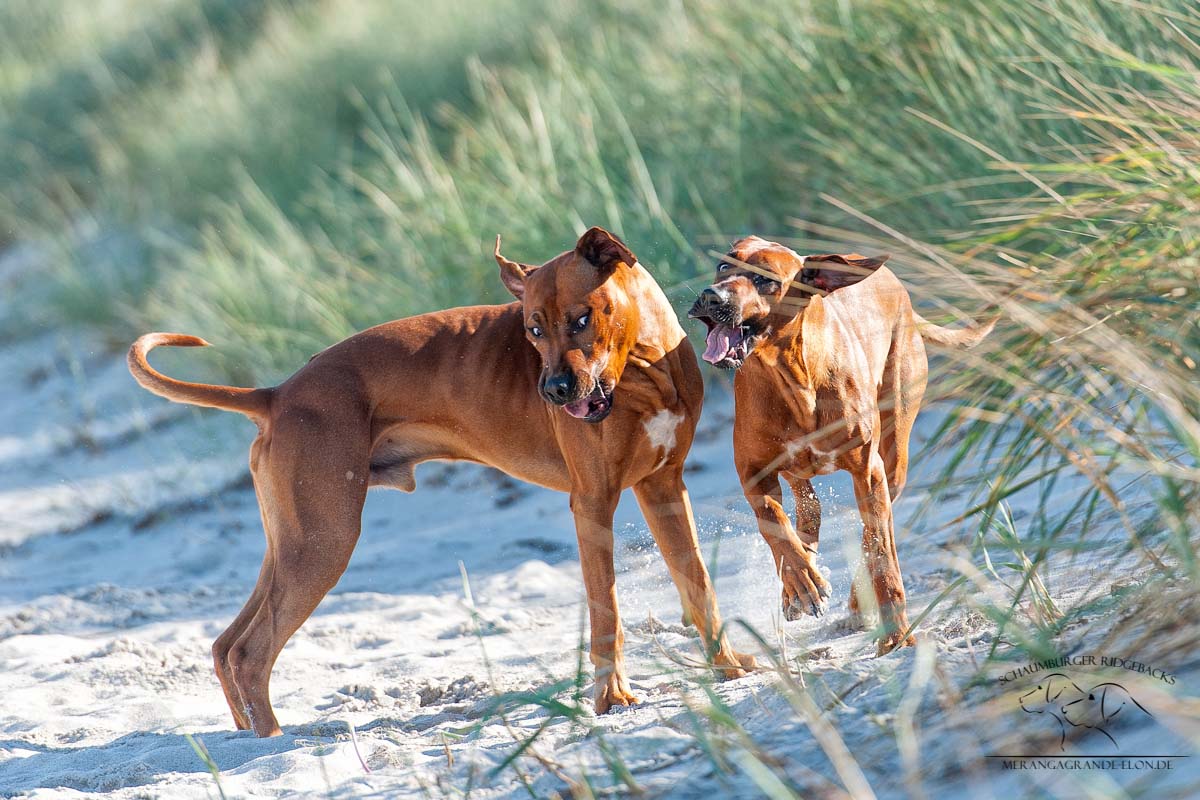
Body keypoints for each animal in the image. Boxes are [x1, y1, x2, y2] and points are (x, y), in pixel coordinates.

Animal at [126, 226, 753, 738]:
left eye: (582, 318)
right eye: (532, 330)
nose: (553, 391)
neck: (645, 368)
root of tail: (276, 395)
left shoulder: (665, 490)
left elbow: (699, 585)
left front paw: (728, 668)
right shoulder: (593, 505)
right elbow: (608, 612)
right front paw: (612, 697)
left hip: (294, 544)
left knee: (226, 644)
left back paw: (246, 735)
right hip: (324, 543)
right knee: (251, 653)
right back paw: (273, 740)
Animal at [691, 237, 988, 657]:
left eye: (764, 280)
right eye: (722, 266)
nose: (710, 296)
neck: (792, 374)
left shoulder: (869, 471)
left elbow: (880, 552)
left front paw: (896, 636)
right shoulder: (754, 474)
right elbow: (775, 525)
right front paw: (801, 580)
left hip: (894, 454)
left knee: (872, 527)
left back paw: (854, 600)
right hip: (798, 468)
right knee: (809, 511)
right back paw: (799, 583)